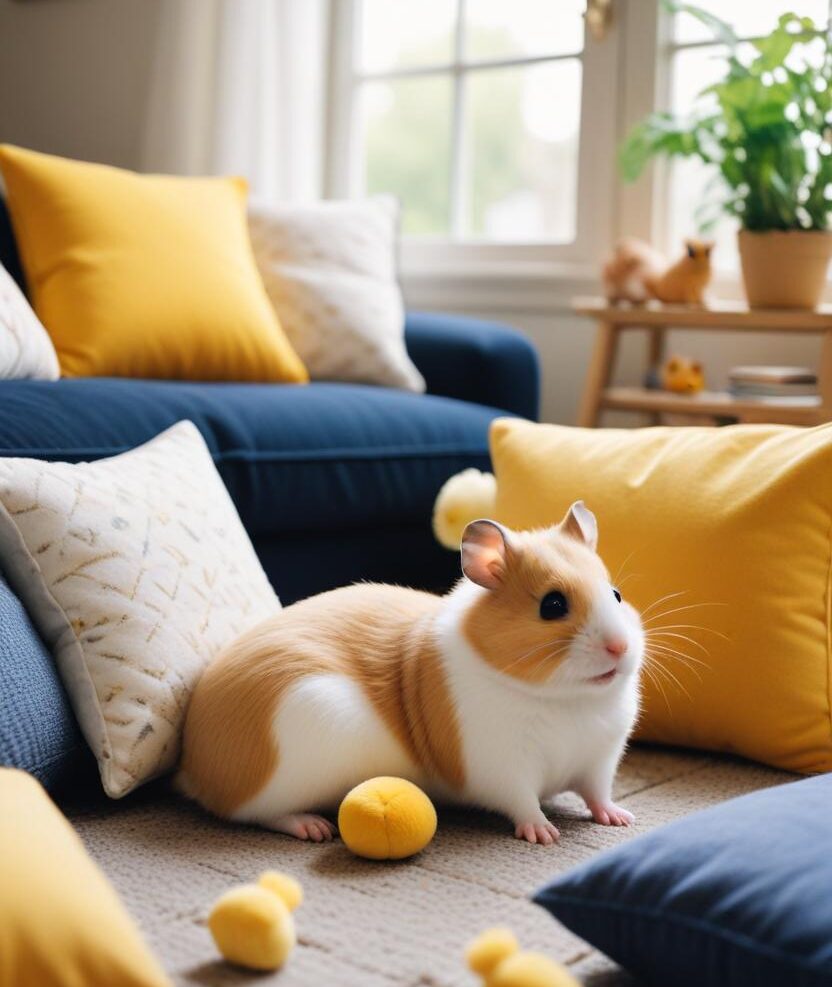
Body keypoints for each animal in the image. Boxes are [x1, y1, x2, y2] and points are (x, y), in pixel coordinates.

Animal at [178, 502, 644, 846]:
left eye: (617, 595)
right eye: (552, 605)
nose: (620, 648)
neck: (567, 699)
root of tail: (194, 766)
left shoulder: (599, 761)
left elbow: (598, 794)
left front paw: (621, 818)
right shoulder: (504, 767)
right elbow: (523, 802)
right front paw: (543, 833)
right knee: (254, 813)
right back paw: (311, 826)